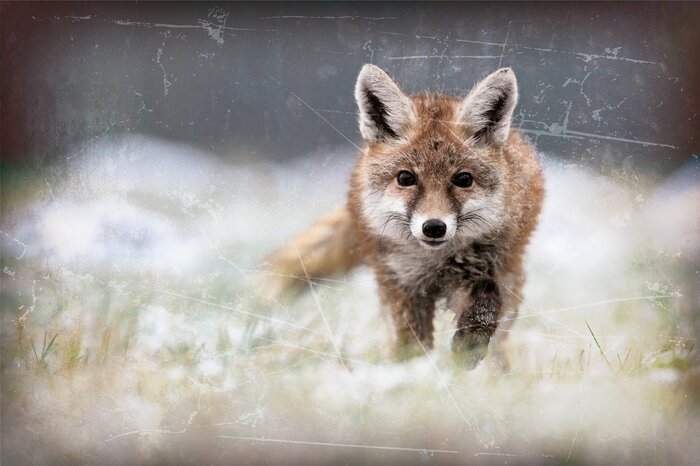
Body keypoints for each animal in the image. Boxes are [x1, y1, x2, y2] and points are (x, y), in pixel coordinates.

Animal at [262, 64, 544, 369]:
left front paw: (467, 349)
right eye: (406, 178)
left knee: (501, 337)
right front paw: (414, 372)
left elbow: (486, 302)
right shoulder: (402, 284)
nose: (434, 227)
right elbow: (411, 342)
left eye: (463, 179)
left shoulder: (489, 268)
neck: (435, 263)